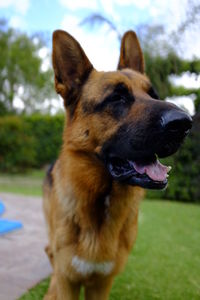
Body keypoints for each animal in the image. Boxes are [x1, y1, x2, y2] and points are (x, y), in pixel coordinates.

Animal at [43, 29, 192, 298]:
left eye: (153, 95)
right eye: (117, 98)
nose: (184, 123)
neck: (103, 199)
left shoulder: (102, 284)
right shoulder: (69, 279)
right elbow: (60, 275)